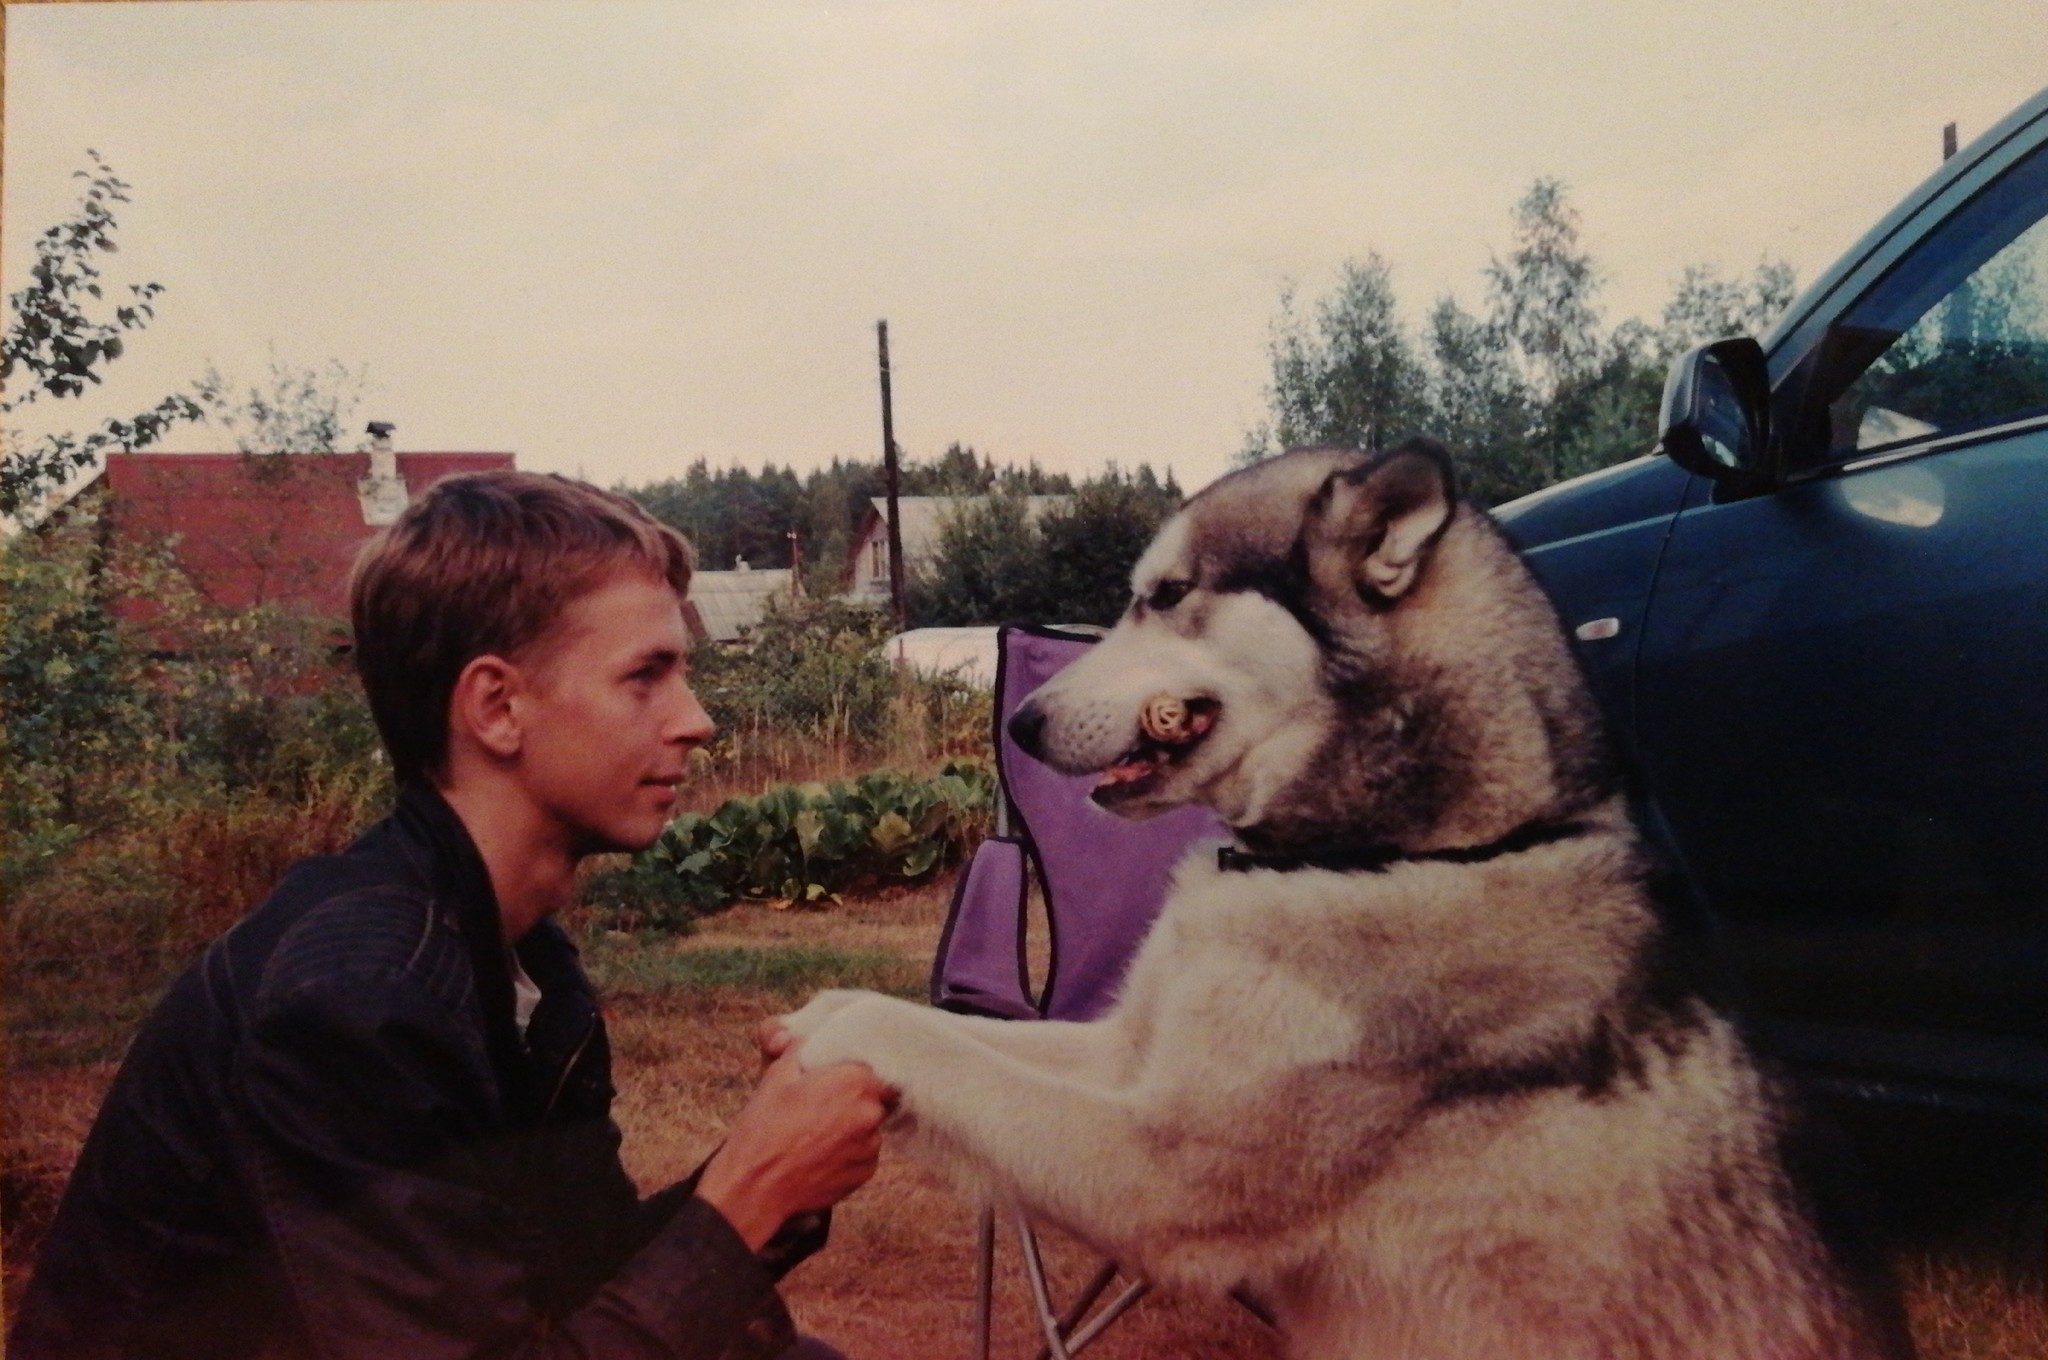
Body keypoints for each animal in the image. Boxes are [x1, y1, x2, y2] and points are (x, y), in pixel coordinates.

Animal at [774, 440, 1908, 1351]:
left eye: (1167, 593)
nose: (1020, 724)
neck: (1391, 854)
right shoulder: (1126, 1056)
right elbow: (950, 1032)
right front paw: (831, 1010)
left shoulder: (1158, 1167)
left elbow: (932, 1043)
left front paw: (842, 1035)